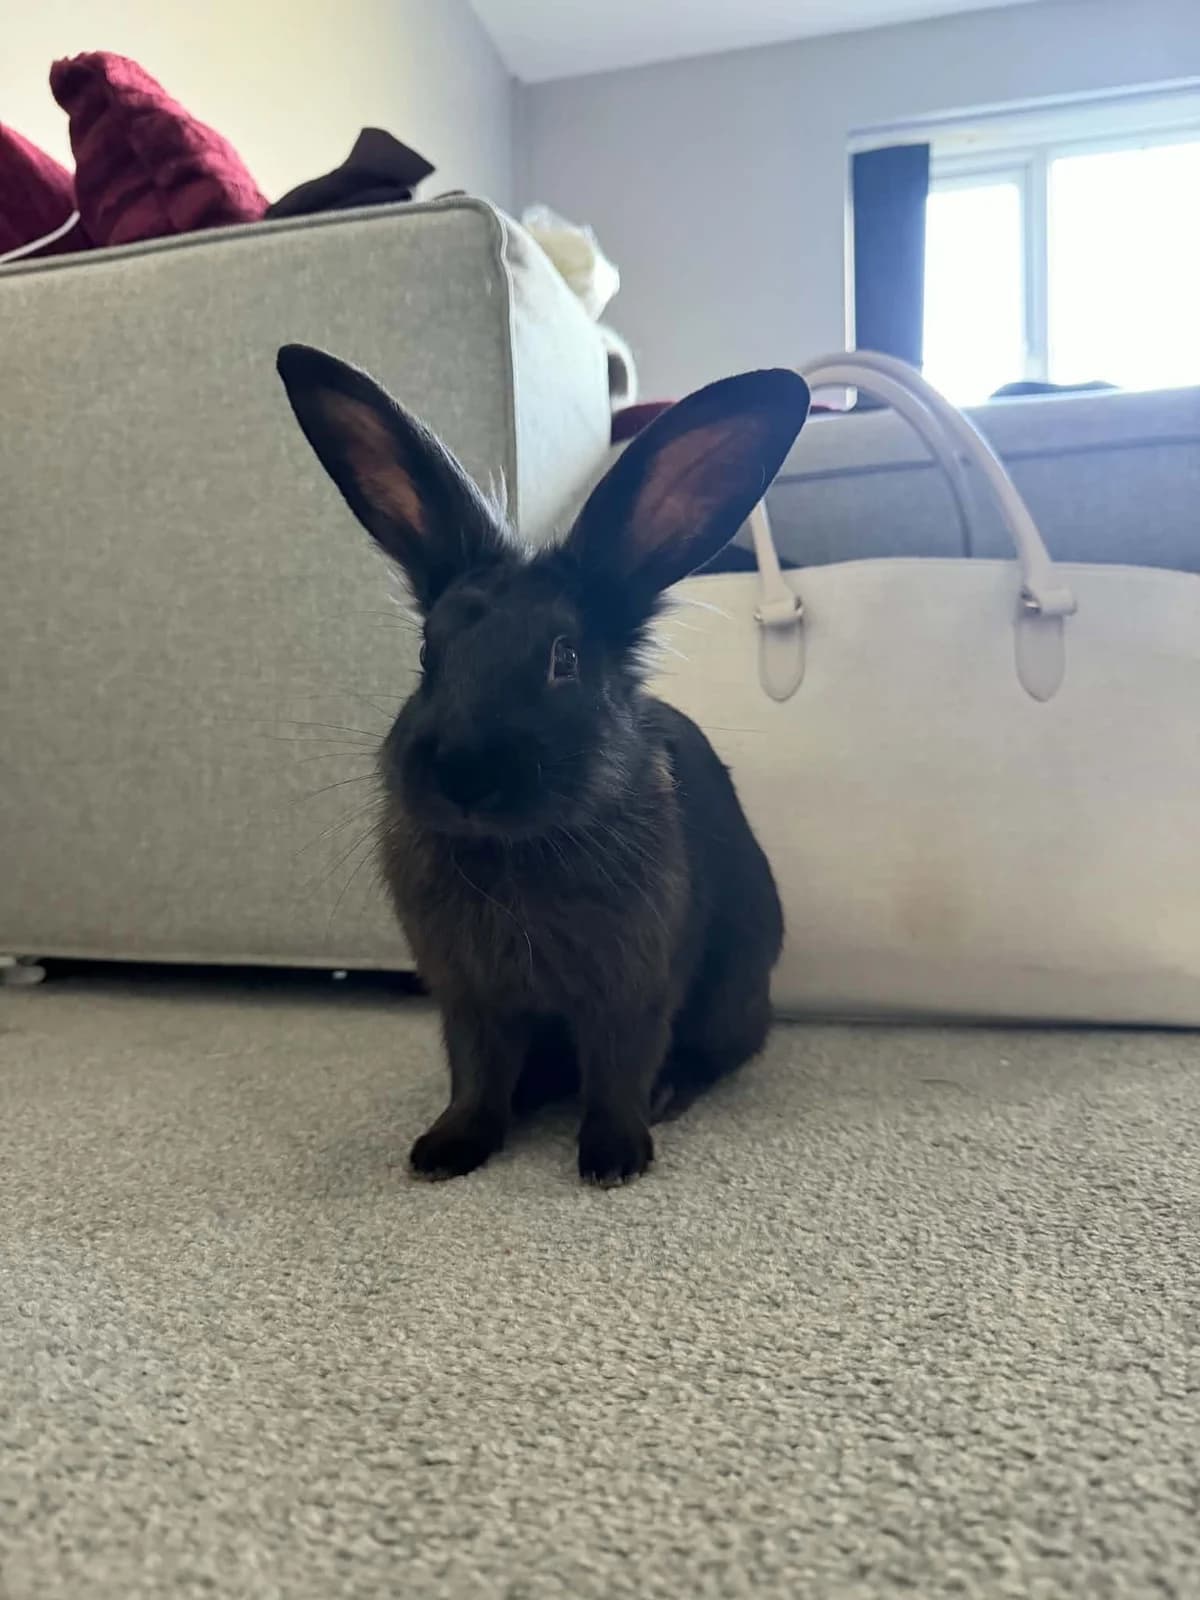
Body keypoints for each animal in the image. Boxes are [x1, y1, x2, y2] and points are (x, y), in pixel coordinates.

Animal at [276, 344, 810, 1185]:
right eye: (428, 653)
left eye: (566, 659)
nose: (462, 774)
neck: (509, 852)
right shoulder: (470, 999)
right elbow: (477, 1075)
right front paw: (445, 1151)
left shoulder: (632, 988)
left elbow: (619, 1069)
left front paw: (613, 1160)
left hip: (735, 992)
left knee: (719, 1053)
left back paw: (670, 1094)